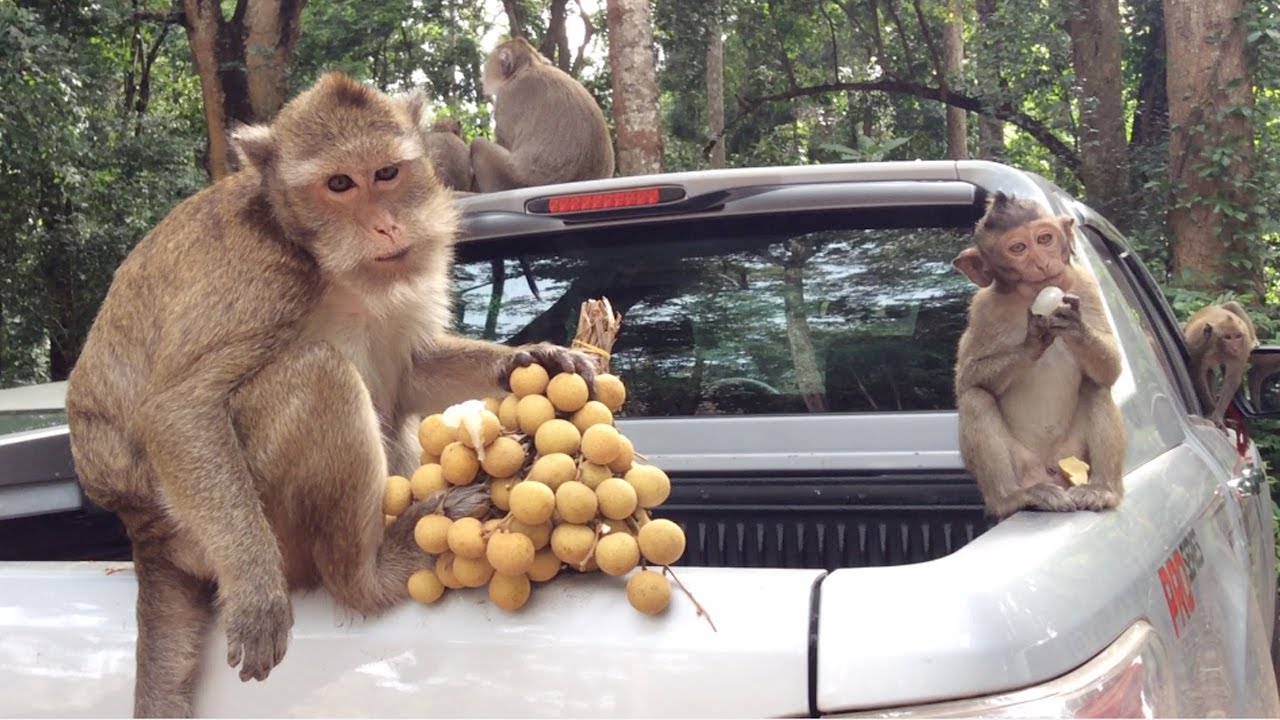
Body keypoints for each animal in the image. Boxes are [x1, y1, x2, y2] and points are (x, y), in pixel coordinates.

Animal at [63, 72, 596, 718]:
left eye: (386, 173)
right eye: (339, 184)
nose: (387, 225)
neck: (320, 256)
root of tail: (146, 535)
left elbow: (412, 372)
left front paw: (531, 357)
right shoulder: (261, 275)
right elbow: (178, 409)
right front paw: (258, 591)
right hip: (241, 534)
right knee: (324, 375)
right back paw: (369, 575)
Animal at [470, 37, 615, 193]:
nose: (485, 68)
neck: (531, 65)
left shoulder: (506, 98)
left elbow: (504, 142)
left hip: (510, 178)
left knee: (478, 144)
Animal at [951, 191, 1126, 520]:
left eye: (1045, 238)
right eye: (1018, 248)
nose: (1044, 262)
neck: (1029, 297)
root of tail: (1048, 469)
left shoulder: (1084, 284)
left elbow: (1111, 369)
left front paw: (1076, 328)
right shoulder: (982, 308)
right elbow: (968, 378)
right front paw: (1032, 341)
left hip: (1071, 453)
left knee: (1097, 386)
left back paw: (1103, 490)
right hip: (1022, 465)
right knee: (976, 398)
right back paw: (1014, 498)